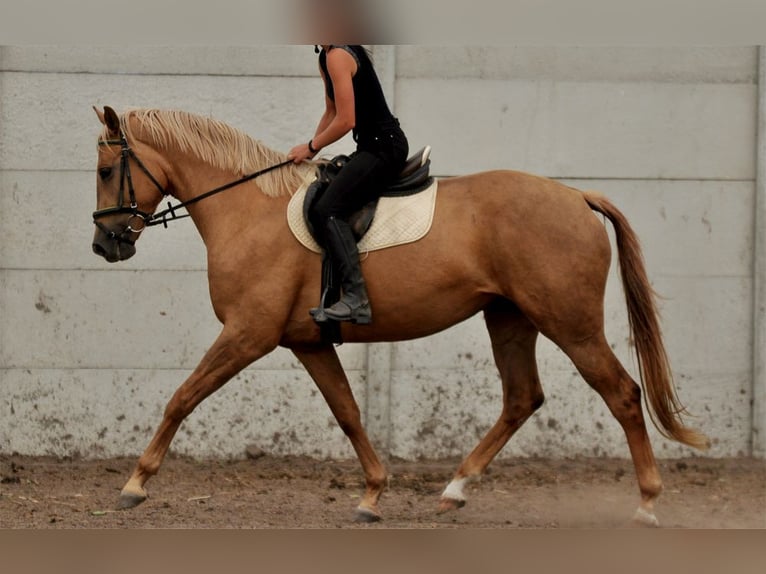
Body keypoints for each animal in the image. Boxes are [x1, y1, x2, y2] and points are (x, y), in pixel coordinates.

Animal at [91, 105, 708, 526]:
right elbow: (348, 414)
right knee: (521, 398)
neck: (248, 210)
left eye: (103, 170)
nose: (104, 245)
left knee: (621, 394)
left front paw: (135, 484)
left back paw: (647, 504)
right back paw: (456, 489)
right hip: (510, 318)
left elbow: (182, 397)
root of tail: (577, 198)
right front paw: (372, 494)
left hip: (570, 325)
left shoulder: (248, 333)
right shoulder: (307, 342)